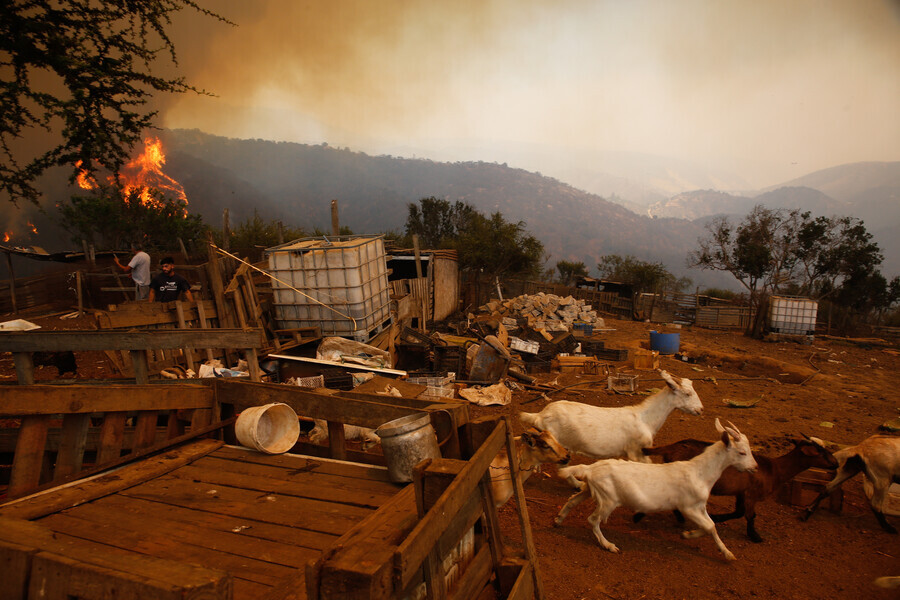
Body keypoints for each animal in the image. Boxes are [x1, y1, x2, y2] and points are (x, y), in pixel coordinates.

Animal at [552, 420, 756, 560]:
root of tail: (589, 469)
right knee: (593, 520)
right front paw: (693, 537)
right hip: (608, 500)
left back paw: (558, 521)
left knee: (572, 500)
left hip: (590, 489)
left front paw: (721, 549)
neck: (699, 472)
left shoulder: (700, 506)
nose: (754, 467)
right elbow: (709, 526)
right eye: (742, 452)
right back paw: (608, 545)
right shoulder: (688, 507)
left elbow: (711, 525)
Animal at [640, 438, 836, 540]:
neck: (775, 469)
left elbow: (738, 512)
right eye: (822, 453)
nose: (836, 463)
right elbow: (749, 515)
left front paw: (717, 518)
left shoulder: (741, 493)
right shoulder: (751, 494)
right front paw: (755, 536)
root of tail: (673, 446)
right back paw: (679, 517)